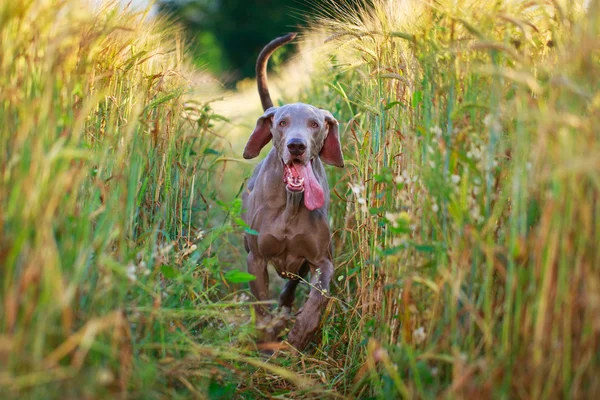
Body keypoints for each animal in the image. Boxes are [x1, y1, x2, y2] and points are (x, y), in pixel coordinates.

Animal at [239, 32, 342, 350]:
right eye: (282, 123)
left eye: (315, 124)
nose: (297, 145)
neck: (291, 203)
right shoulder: (255, 259)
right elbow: (261, 305)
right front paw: (267, 336)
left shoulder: (322, 262)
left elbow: (317, 298)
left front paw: (299, 333)